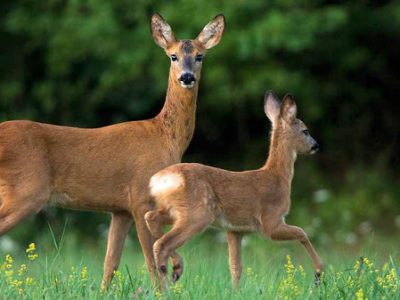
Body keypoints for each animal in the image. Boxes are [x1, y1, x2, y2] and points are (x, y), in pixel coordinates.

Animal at [0, 12, 225, 288]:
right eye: (173, 56)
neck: (164, 137)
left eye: (199, 56)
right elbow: (152, 264)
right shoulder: (141, 198)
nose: (187, 77)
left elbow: (110, 265)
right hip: (25, 191)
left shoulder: (120, 209)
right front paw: (168, 279)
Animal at [145, 91, 324, 288]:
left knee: (150, 218)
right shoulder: (270, 221)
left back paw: (175, 269)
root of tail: (159, 180)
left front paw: (236, 290)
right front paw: (318, 273)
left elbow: (235, 267)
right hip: (197, 213)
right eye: (305, 131)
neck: (278, 178)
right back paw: (169, 282)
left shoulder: (234, 230)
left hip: (176, 211)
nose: (315, 146)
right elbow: (302, 232)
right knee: (161, 244)